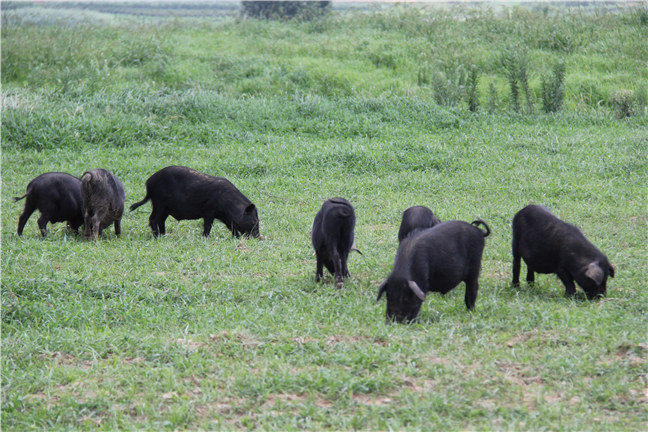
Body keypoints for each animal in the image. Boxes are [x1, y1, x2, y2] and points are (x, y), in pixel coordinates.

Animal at [130, 167, 260, 238]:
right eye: (255, 221)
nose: (259, 237)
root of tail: (148, 183)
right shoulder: (209, 211)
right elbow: (208, 225)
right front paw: (205, 237)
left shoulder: (225, 217)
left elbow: (231, 227)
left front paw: (236, 237)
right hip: (159, 203)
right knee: (152, 219)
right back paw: (157, 237)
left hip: (164, 208)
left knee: (161, 220)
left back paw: (164, 235)